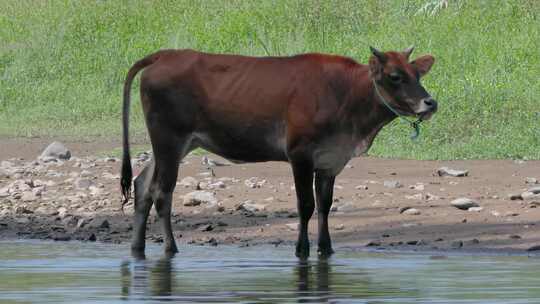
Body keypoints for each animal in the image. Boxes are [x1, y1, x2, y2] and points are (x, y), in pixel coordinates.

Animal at [120, 47, 436, 258]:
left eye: (418, 74)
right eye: (395, 76)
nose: (430, 102)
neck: (345, 94)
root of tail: (166, 55)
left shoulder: (331, 160)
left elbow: (325, 205)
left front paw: (326, 249)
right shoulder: (300, 154)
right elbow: (306, 205)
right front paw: (302, 249)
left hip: (173, 144)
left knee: (142, 184)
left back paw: (137, 247)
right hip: (169, 139)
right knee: (162, 191)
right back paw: (171, 248)